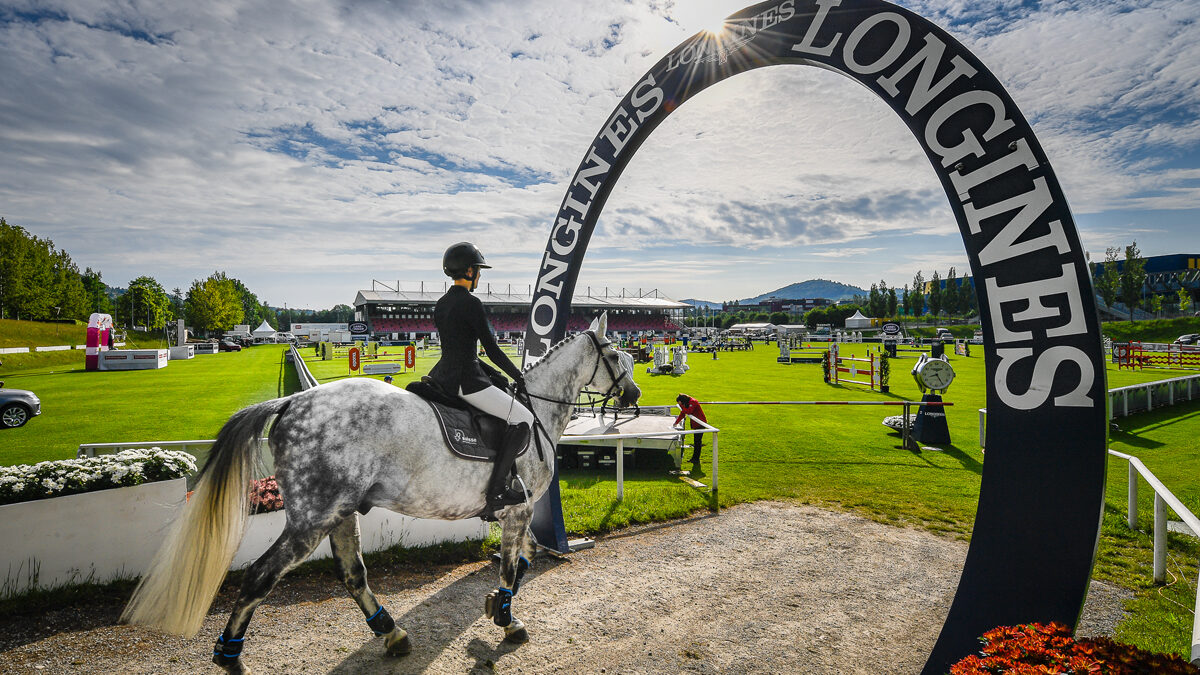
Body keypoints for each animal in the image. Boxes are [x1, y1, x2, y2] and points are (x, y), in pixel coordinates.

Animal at [124, 312, 638, 667]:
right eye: (617, 356)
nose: (633, 397)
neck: (537, 413)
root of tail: (291, 401)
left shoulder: (518, 512)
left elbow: (524, 559)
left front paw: (497, 603)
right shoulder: (520, 508)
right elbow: (514, 565)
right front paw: (508, 620)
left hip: (340, 512)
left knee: (353, 575)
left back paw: (392, 634)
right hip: (311, 519)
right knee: (259, 577)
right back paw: (230, 656)